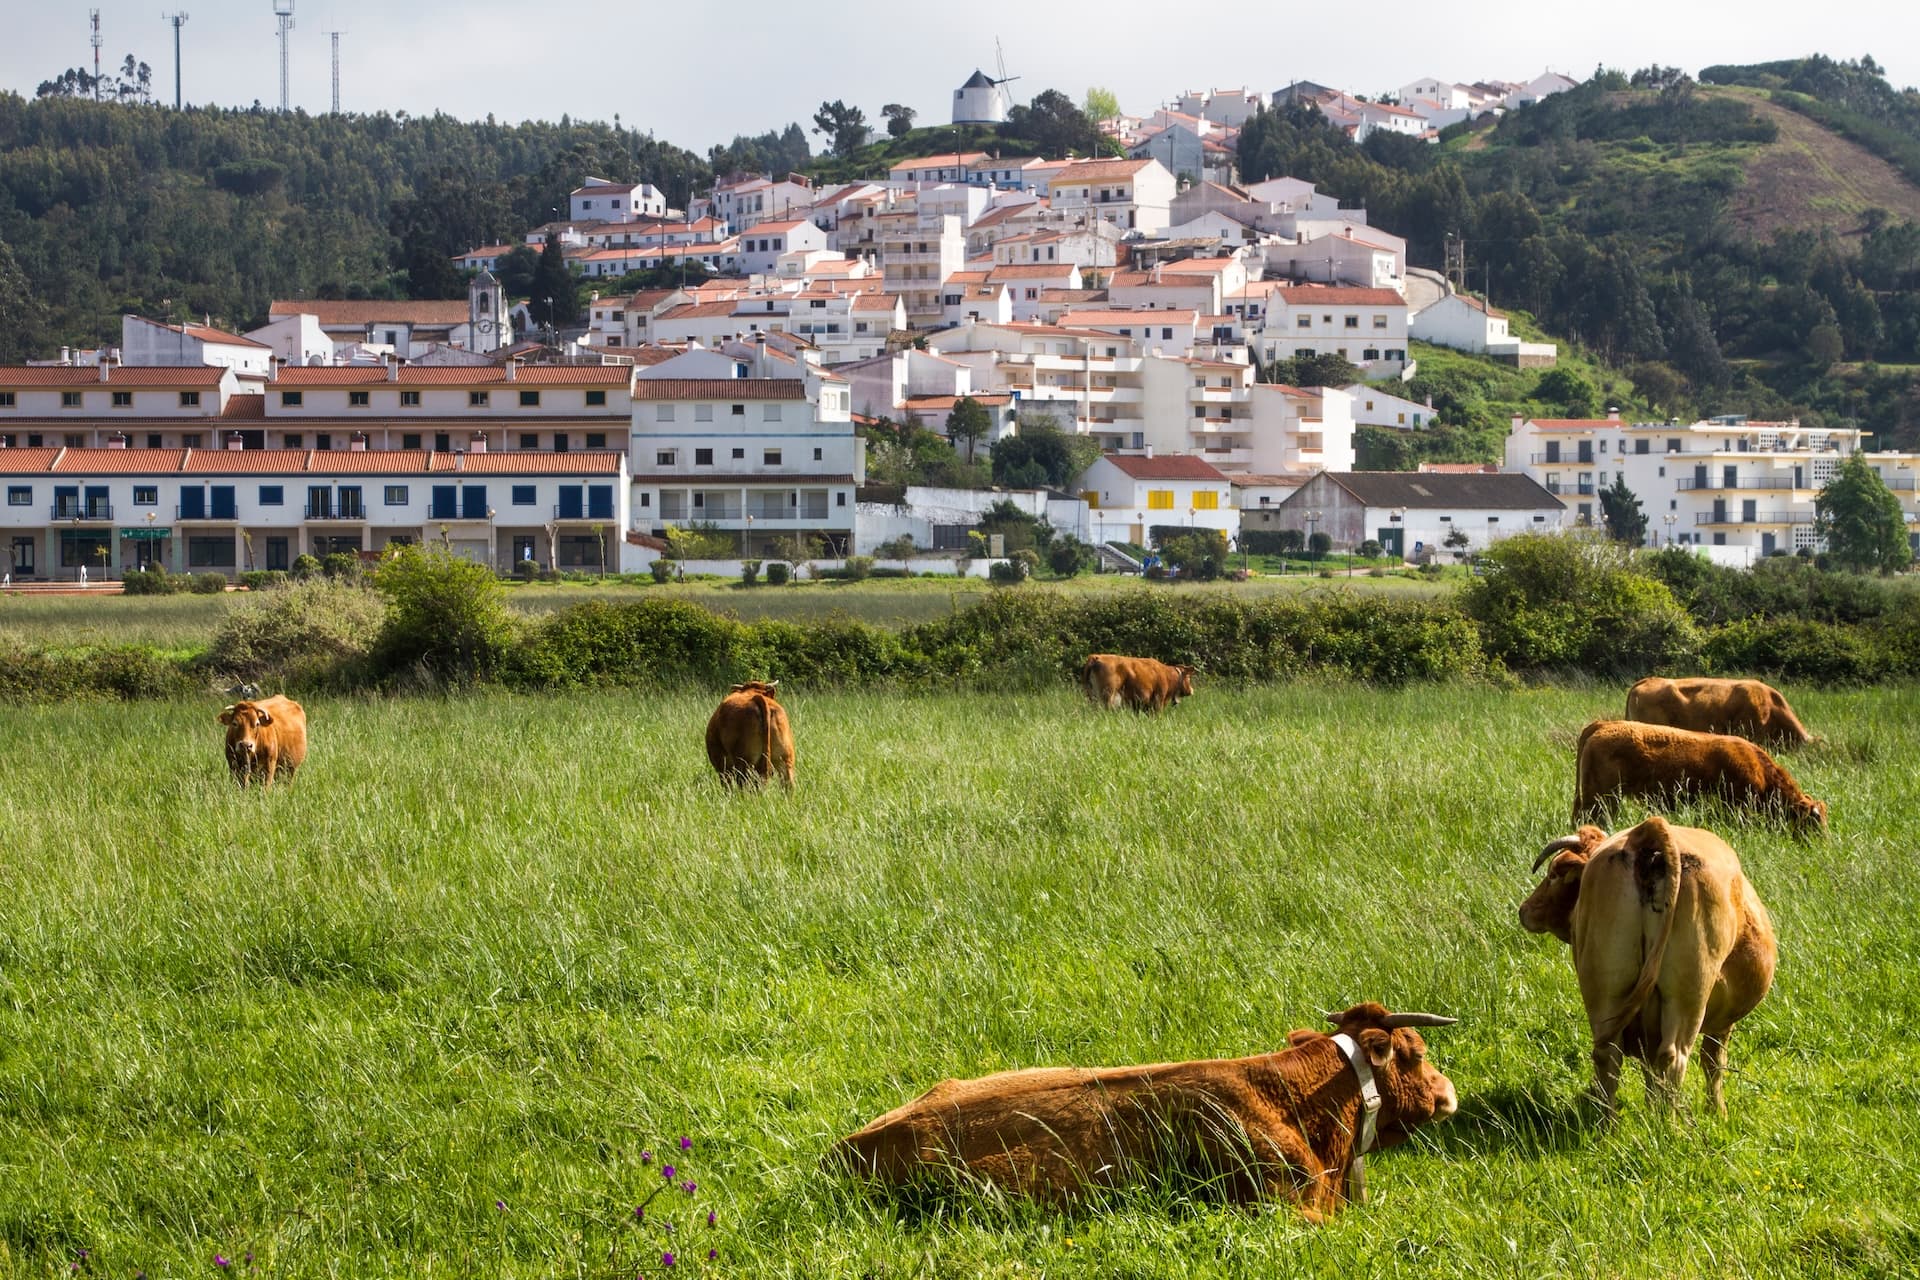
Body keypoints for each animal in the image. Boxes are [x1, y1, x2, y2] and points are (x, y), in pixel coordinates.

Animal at [1520, 817, 1776, 1116]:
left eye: (1554, 874)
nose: (1524, 909)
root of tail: (1649, 829)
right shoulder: (1722, 1022)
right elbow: (1713, 1062)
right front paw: (1718, 1113)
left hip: (1605, 990)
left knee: (1609, 1055)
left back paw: (1610, 1123)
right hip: (1688, 998)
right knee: (1673, 1058)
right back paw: (1665, 1126)